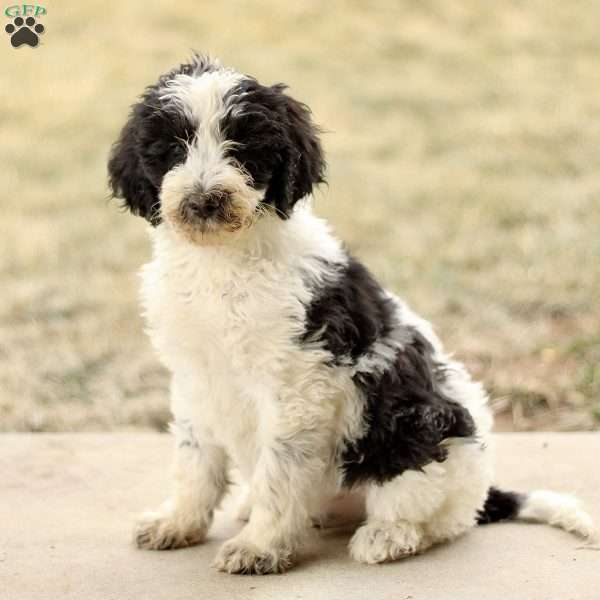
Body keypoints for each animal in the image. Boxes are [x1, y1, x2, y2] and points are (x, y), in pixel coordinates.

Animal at [108, 57, 596, 576]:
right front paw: (178, 522)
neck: (221, 260)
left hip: (418, 426)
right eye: (171, 148)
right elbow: (194, 459)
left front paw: (259, 547)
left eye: (244, 148)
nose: (204, 201)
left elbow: (279, 472)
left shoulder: (295, 386)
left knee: (432, 515)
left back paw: (386, 537)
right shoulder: (196, 376)